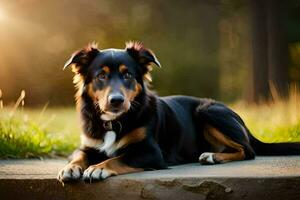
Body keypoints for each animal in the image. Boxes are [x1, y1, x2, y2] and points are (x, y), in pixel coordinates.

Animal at [58, 41, 300, 182]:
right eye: (101, 75)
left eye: (128, 75)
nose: (116, 101)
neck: (114, 121)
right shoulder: (89, 145)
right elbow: (79, 155)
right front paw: (71, 168)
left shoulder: (150, 152)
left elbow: (118, 158)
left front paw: (98, 168)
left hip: (208, 110)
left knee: (248, 150)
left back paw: (212, 156)